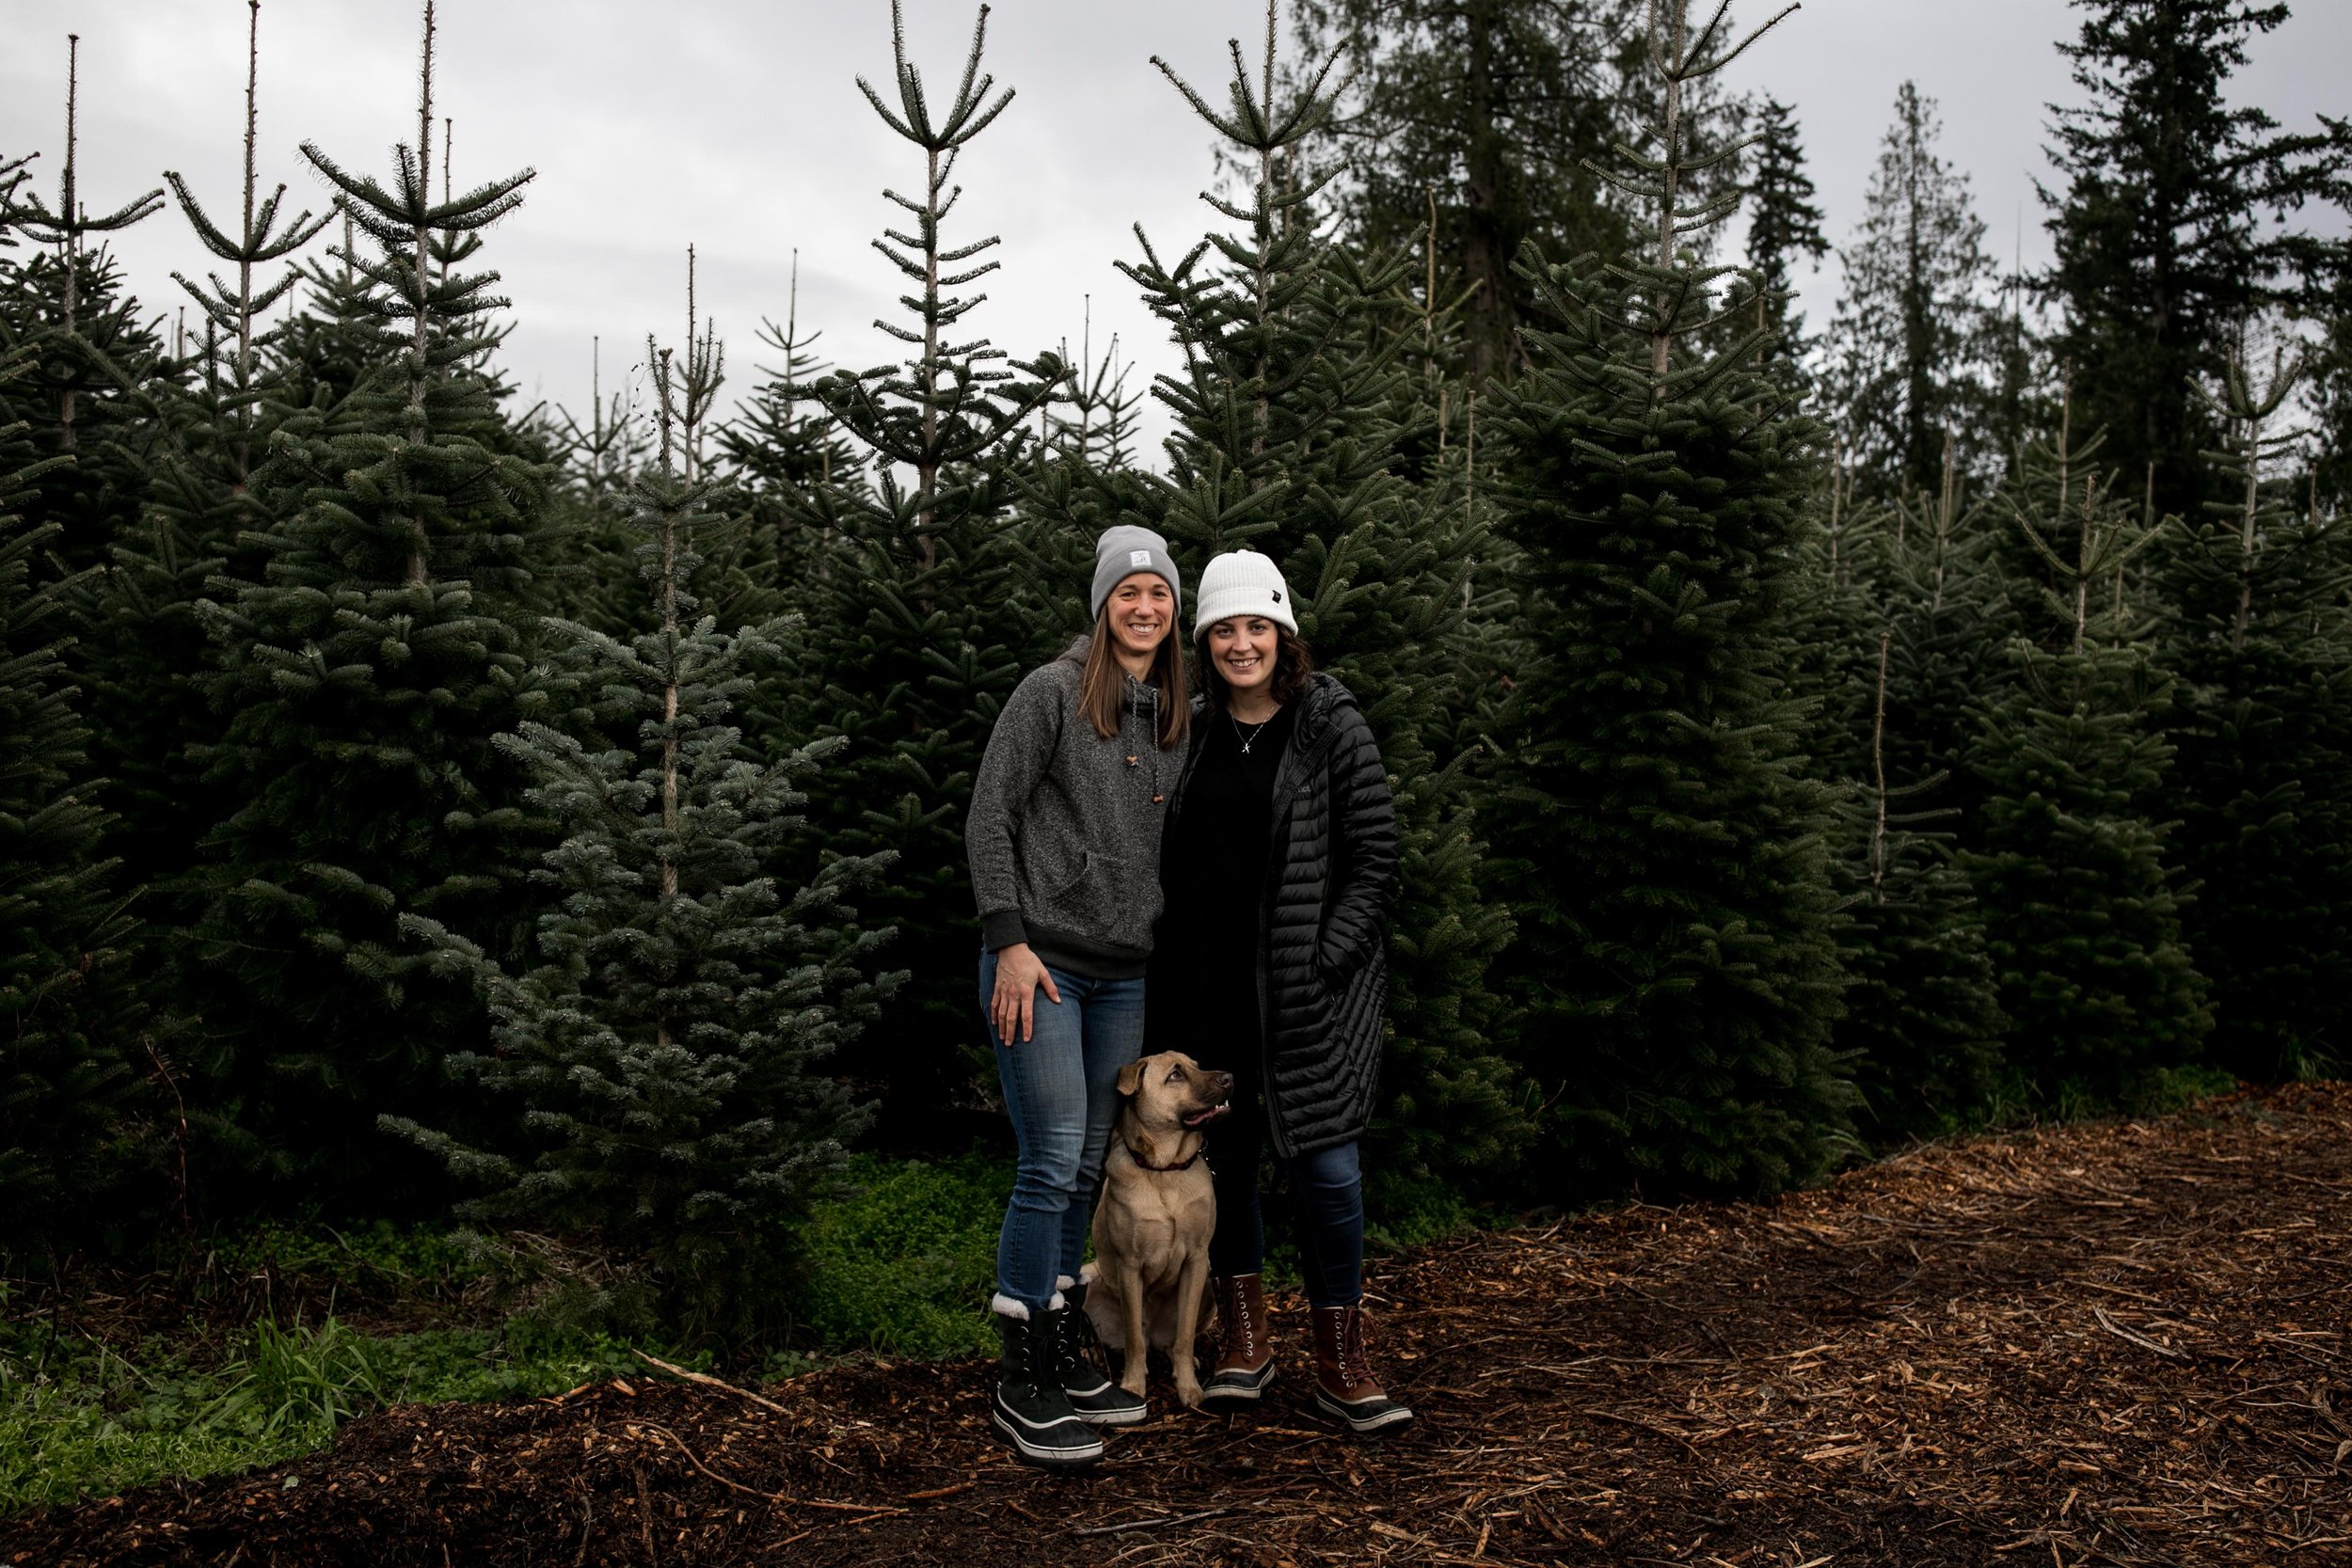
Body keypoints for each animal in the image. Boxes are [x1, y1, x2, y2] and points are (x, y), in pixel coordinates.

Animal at [1082, 1053, 1232, 1410]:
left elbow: (1185, 1336)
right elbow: (1133, 1339)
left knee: (1170, 1343)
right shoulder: (1129, 1265)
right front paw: (1133, 1386)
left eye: (1197, 1065)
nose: (1230, 1078)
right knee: (1125, 1338)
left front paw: (1188, 1386)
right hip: (1090, 1277)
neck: (1166, 1171)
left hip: (1208, 1285)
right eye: (1175, 1075)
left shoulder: (1197, 1259)